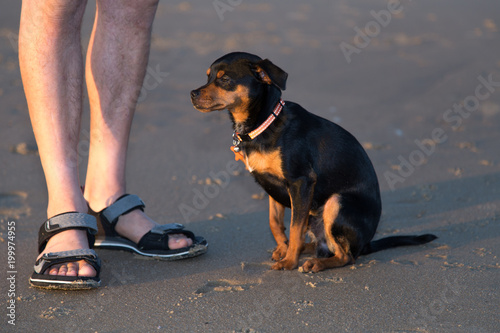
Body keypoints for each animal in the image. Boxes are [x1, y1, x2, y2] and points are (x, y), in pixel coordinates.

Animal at [189, 51, 436, 270]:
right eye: (208, 77)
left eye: (224, 79)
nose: (192, 93)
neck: (264, 122)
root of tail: (366, 244)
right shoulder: (273, 187)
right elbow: (276, 223)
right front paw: (284, 250)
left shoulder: (301, 182)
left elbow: (294, 227)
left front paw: (289, 262)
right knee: (325, 245)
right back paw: (304, 251)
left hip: (336, 203)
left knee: (346, 256)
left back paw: (315, 263)